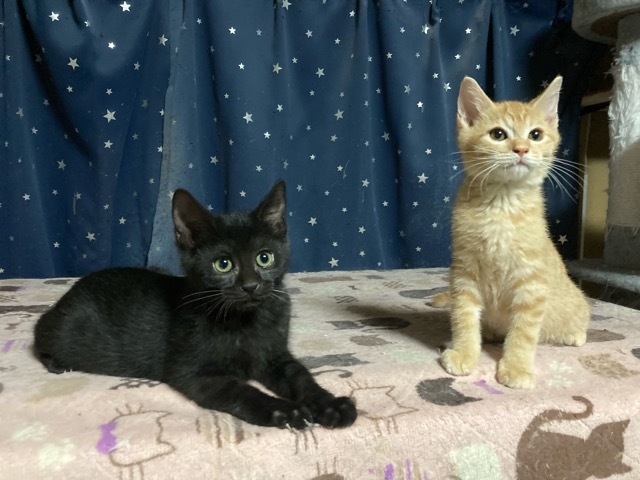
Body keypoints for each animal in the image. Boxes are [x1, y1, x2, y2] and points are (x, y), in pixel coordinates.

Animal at [34, 181, 357, 429]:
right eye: (223, 264)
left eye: (264, 258)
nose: (251, 285)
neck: (244, 321)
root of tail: (74, 289)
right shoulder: (192, 373)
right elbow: (241, 391)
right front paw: (285, 410)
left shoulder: (276, 356)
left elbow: (301, 378)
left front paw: (331, 404)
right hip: (62, 328)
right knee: (39, 334)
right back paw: (58, 364)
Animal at [433, 76, 590, 389]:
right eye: (498, 134)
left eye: (536, 134)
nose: (521, 149)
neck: (502, 207)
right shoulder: (464, 271)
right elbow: (463, 315)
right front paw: (465, 352)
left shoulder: (532, 282)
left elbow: (523, 331)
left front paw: (516, 367)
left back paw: (574, 334)